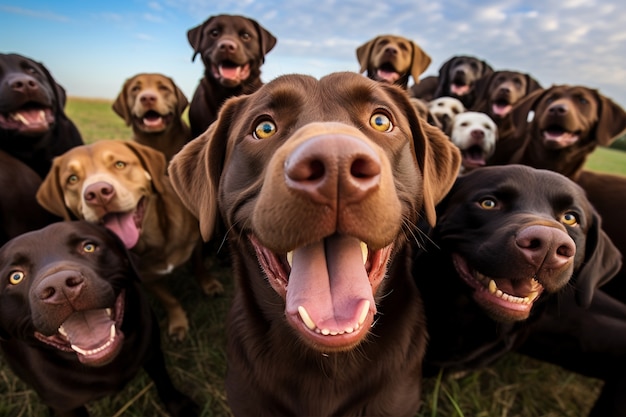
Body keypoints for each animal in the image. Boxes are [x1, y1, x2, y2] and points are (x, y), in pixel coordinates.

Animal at [36, 138, 222, 340]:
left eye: (119, 164)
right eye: (72, 179)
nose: (98, 193)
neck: (153, 243)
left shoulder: (195, 246)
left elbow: (199, 266)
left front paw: (209, 284)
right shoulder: (148, 279)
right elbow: (169, 300)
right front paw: (178, 322)